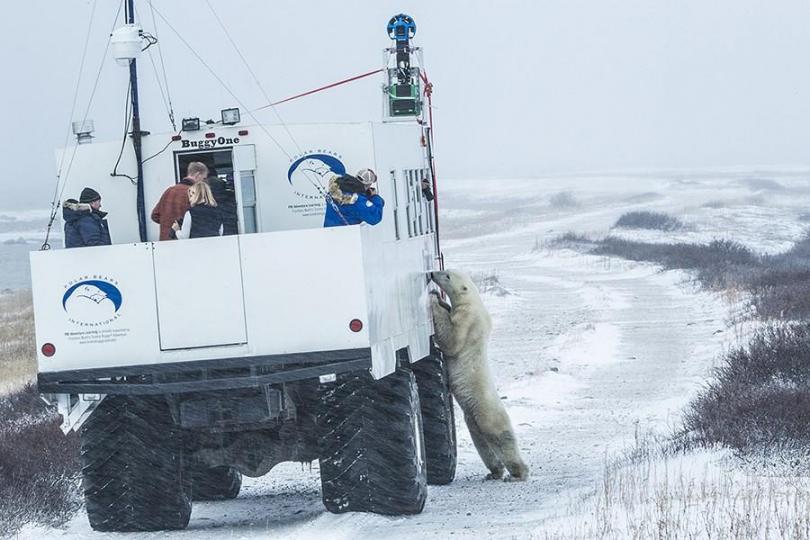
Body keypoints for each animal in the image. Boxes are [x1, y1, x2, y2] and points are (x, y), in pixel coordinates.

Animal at [426, 270, 528, 480]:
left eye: (447, 275)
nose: (432, 273)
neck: (474, 301)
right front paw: (441, 300)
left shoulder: (467, 319)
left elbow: (451, 340)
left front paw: (434, 299)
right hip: (473, 417)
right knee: (481, 441)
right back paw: (495, 472)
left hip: (487, 412)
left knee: (500, 438)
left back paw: (518, 473)